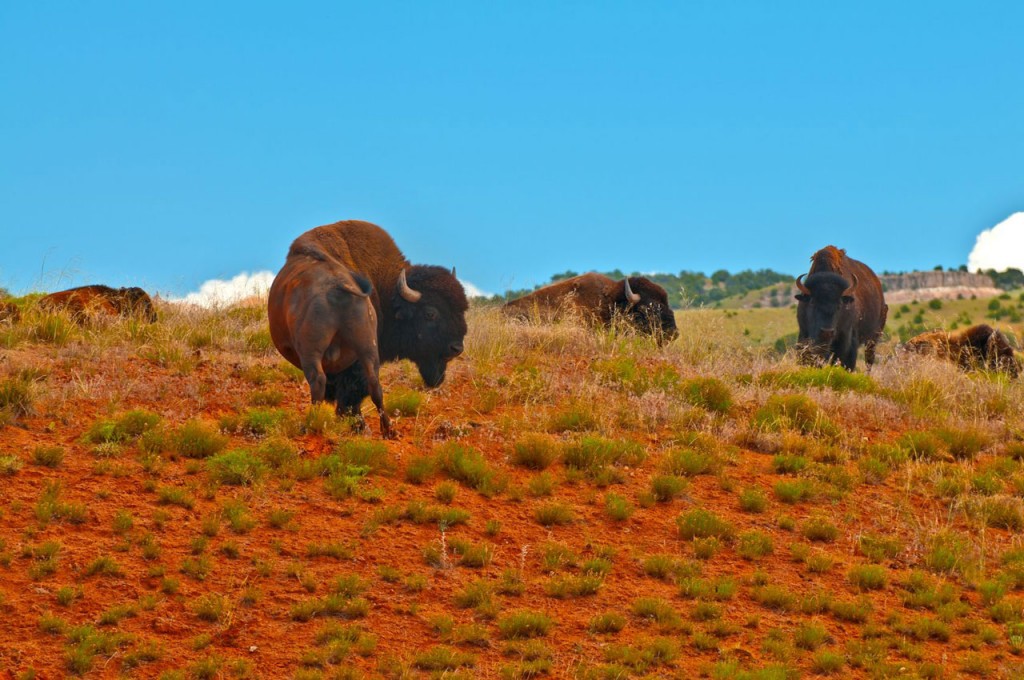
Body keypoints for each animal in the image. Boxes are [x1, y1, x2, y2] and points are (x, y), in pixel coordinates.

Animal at [266, 220, 468, 436]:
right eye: (430, 313)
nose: (456, 348)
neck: (388, 291)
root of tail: (339, 285)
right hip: (367, 346)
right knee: (374, 384)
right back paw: (387, 430)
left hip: (312, 351)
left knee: (319, 381)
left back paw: (312, 424)